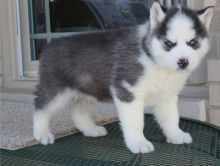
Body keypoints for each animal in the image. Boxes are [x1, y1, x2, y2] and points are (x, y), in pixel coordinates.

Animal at [34, 2, 213, 153]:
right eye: (169, 43)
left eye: (193, 42)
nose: (183, 62)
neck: (152, 58)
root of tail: (49, 45)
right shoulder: (128, 91)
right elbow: (135, 122)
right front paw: (139, 143)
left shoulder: (167, 96)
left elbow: (172, 118)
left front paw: (176, 135)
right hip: (55, 89)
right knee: (41, 108)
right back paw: (42, 134)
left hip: (88, 90)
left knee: (77, 111)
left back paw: (91, 129)